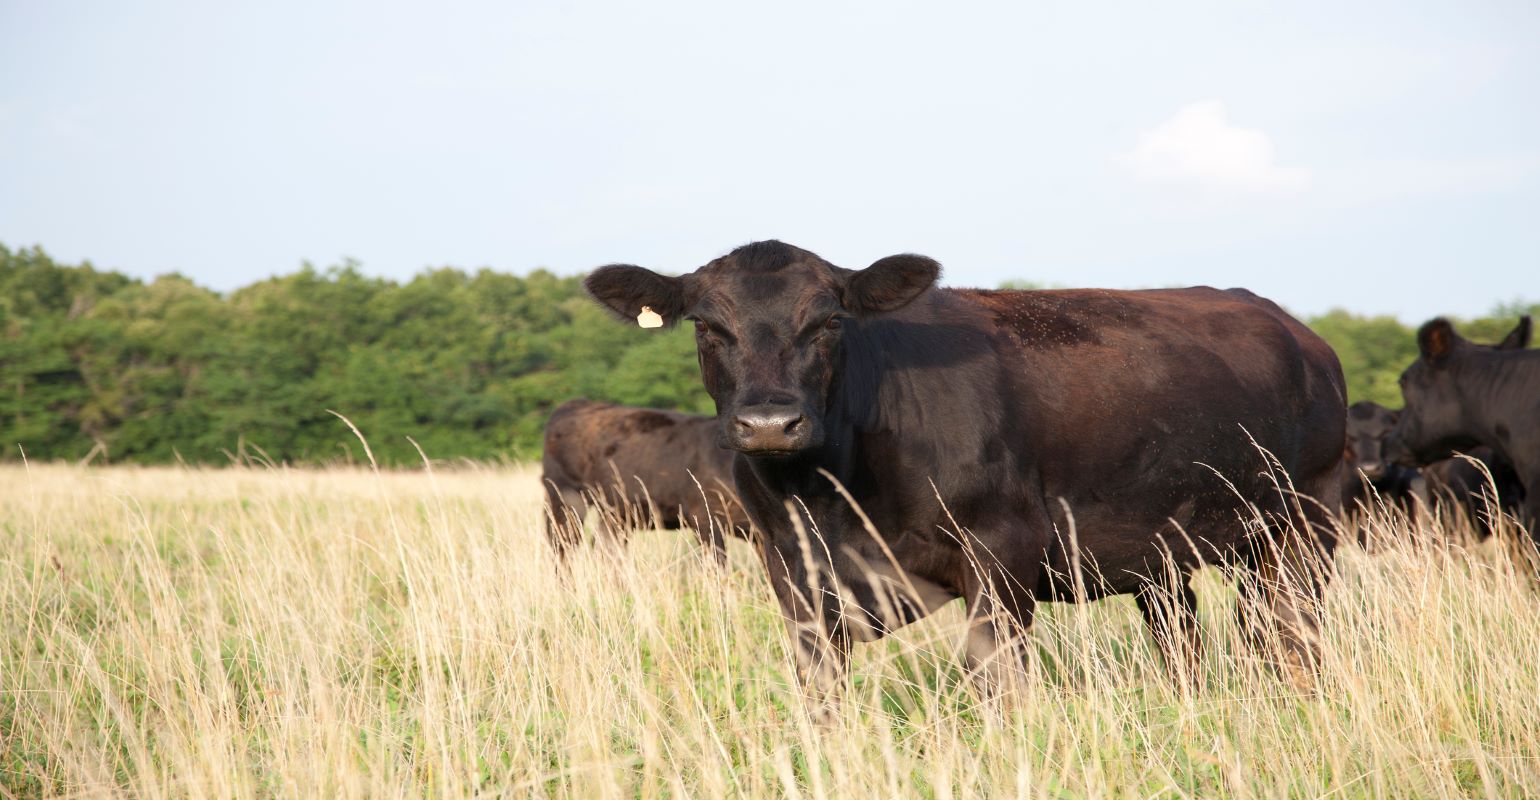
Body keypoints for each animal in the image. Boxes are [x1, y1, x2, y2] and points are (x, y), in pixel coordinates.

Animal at [545, 397, 754, 561]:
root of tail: (576, 403)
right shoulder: (704, 518)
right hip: (564, 496)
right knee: (564, 547)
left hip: (617, 512)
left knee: (606, 547)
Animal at [582, 238, 1342, 693]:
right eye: (708, 326)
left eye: (829, 322)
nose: (770, 423)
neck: (830, 494)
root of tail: (1294, 329)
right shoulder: (791, 566)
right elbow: (820, 684)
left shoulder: (1002, 552)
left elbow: (997, 680)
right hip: (1162, 553)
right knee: (1183, 641)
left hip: (1302, 529)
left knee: (1289, 635)